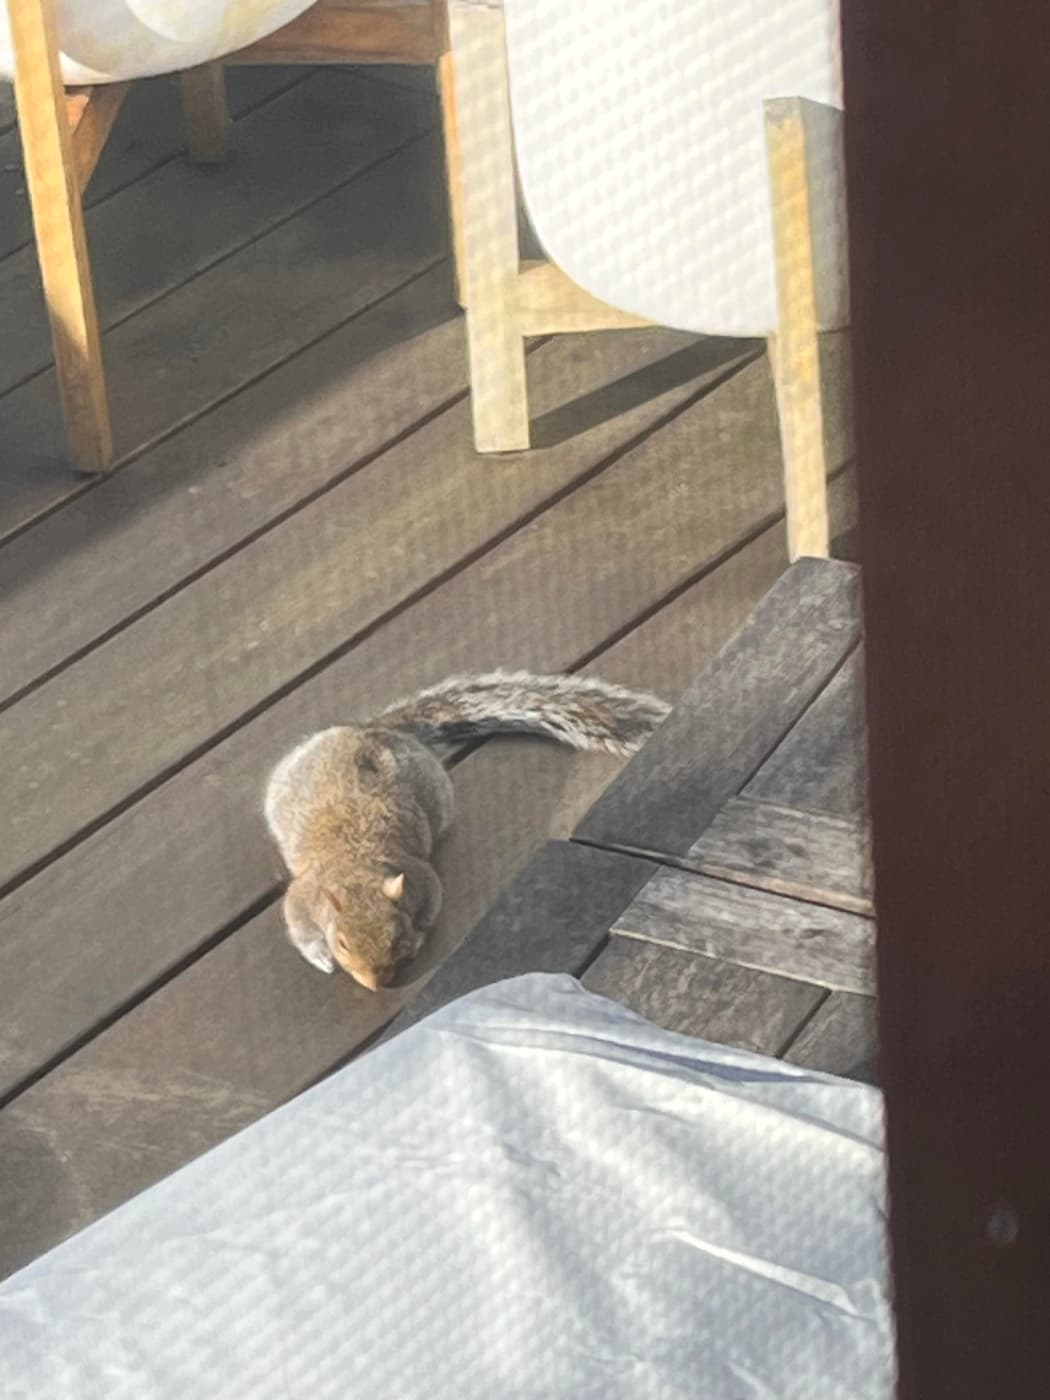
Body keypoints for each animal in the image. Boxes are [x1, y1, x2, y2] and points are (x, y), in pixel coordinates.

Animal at [264, 671, 669, 991]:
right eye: (343, 943)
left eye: (396, 938)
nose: (375, 985)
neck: (356, 869)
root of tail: (370, 732)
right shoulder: (304, 895)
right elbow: (298, 925)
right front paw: (321, 956)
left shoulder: (423, 879)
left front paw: (418, 940)